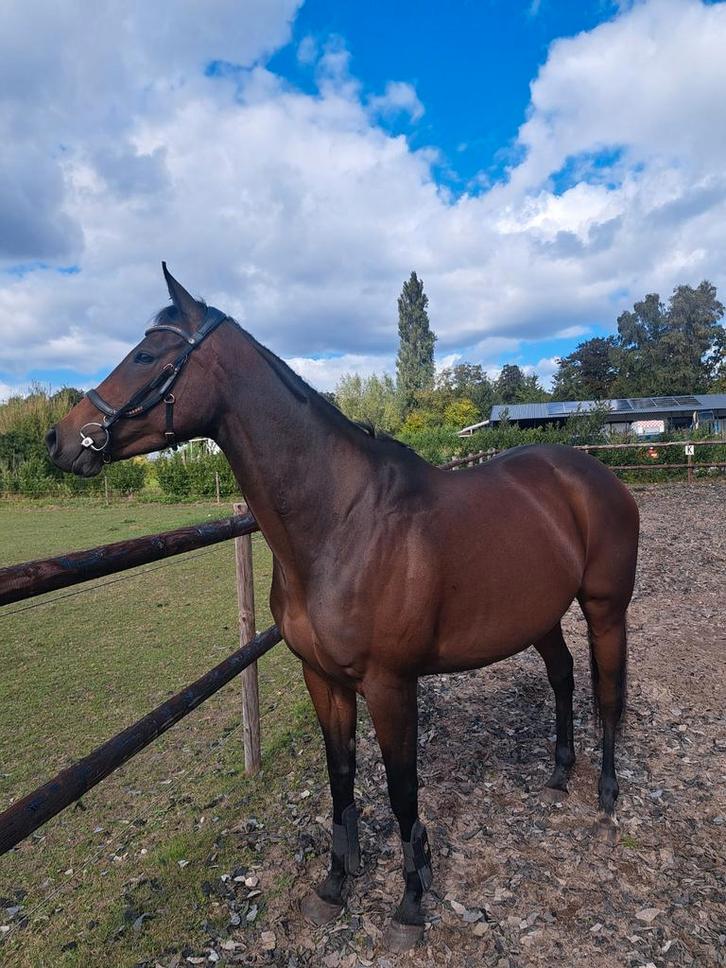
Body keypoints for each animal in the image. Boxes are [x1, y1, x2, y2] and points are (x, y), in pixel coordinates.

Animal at [47, 265, 639, 950]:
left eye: (145, 355)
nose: (57, 438)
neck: (342, 523)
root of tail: (596, 475)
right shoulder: (322, 677)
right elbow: (341, 777)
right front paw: (334, 886)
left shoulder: (390, 684)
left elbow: (403, 789)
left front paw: (410, 903)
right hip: (538, 614)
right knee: (563, 675)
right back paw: (559, 772)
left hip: (605, 609)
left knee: (606, 692)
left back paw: (606, 796)